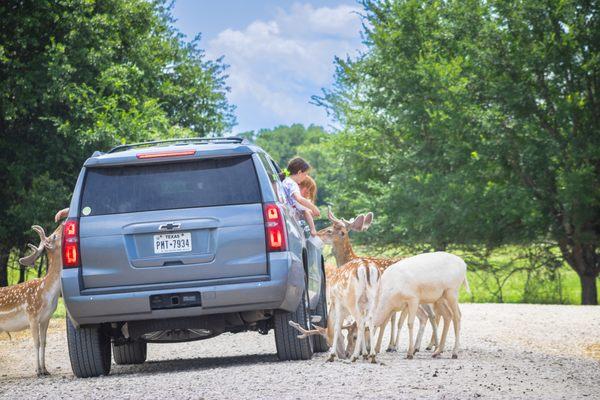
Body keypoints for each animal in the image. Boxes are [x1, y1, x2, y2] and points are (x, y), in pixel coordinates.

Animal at [0, 209, 68, 378]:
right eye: (54, 236)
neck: (46, 292)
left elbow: (43, 342)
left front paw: (45, 370)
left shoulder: (45, 318)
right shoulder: (32, 315)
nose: (63, 222)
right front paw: (37, 371)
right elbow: (36, 343)